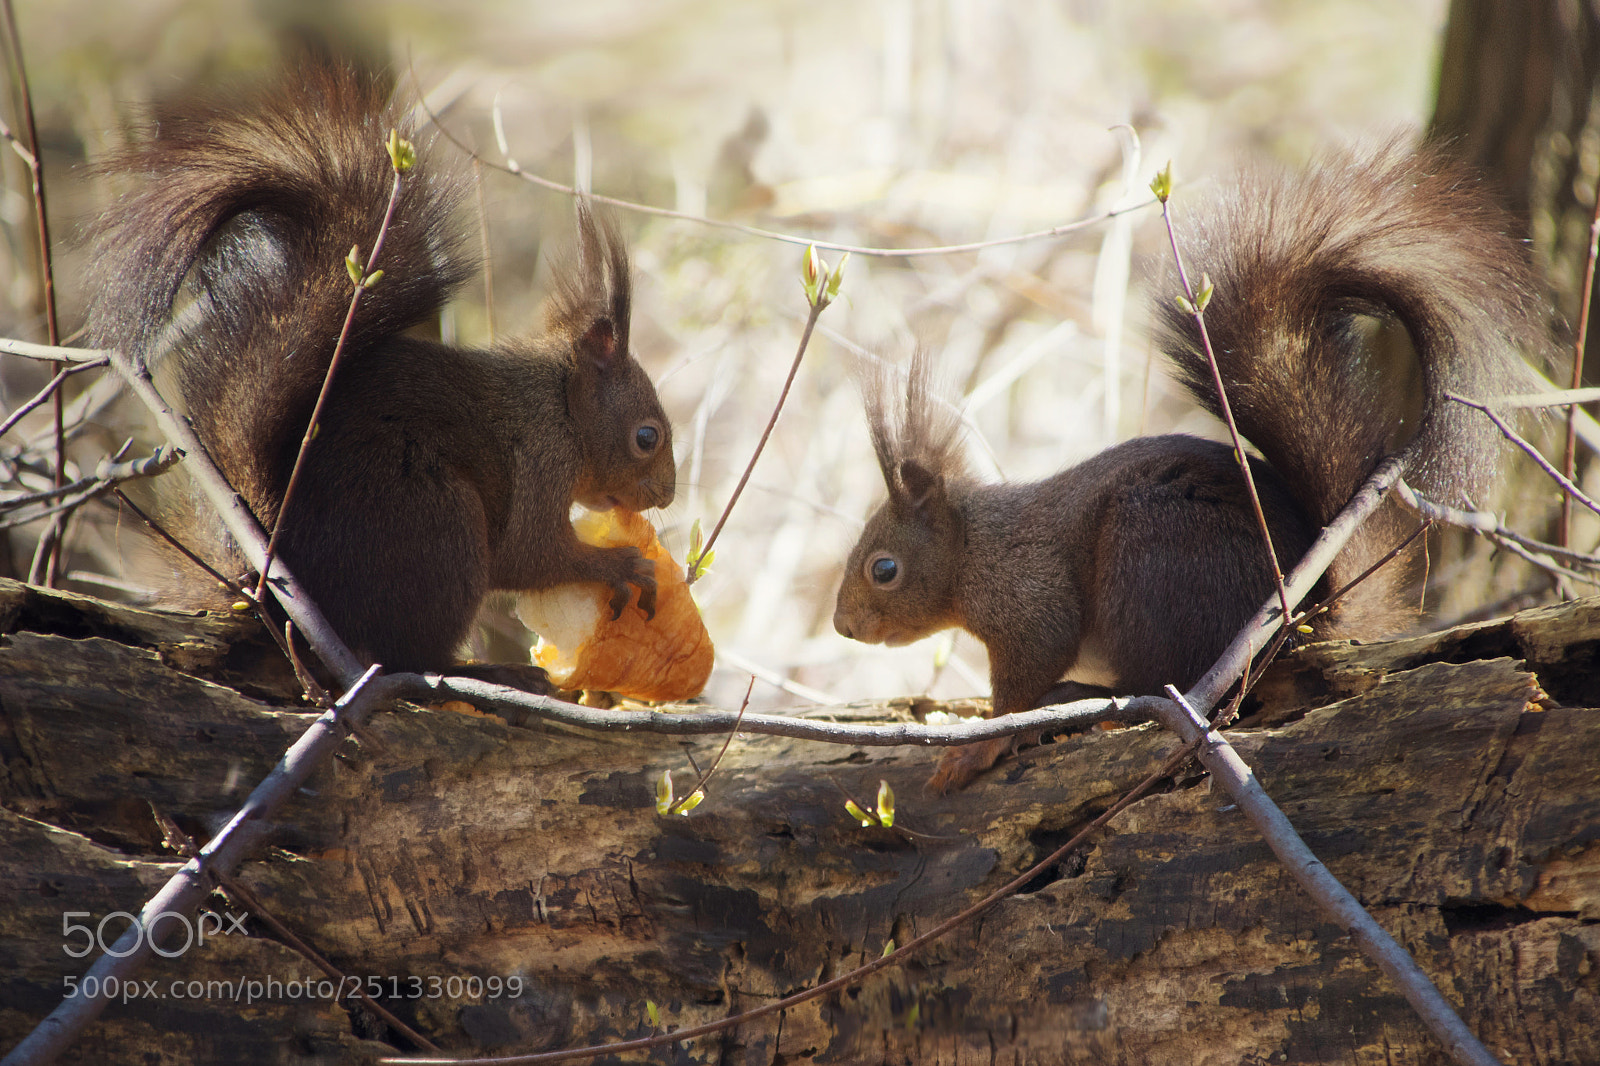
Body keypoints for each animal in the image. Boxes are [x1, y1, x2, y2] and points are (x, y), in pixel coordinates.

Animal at [88, 61, 676, 673]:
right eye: (647, 436)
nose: (666, 496)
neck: (559, 401)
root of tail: (274, 588)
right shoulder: (541, 459)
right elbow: (530, 553)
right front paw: (621, 566)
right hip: (438, 522)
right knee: (411, 654)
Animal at [833, 143, 1558, 793]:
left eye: (884, 569)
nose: (843, 627)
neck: (973, 550)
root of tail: (1301, 612)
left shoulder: (1027, 594)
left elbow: (1026, 674)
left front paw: (975, 748)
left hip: (1146, 566)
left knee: (1156, 683)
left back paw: (1080, 697)